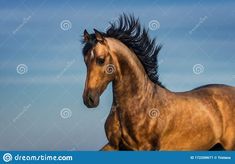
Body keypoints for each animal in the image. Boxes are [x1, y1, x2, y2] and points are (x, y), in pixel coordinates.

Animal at [81, 14, 235, 151]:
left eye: (101, 60)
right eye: (85, 61)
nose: (89, 99)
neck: (140, 104)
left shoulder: (145, 148)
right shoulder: (114, 146)